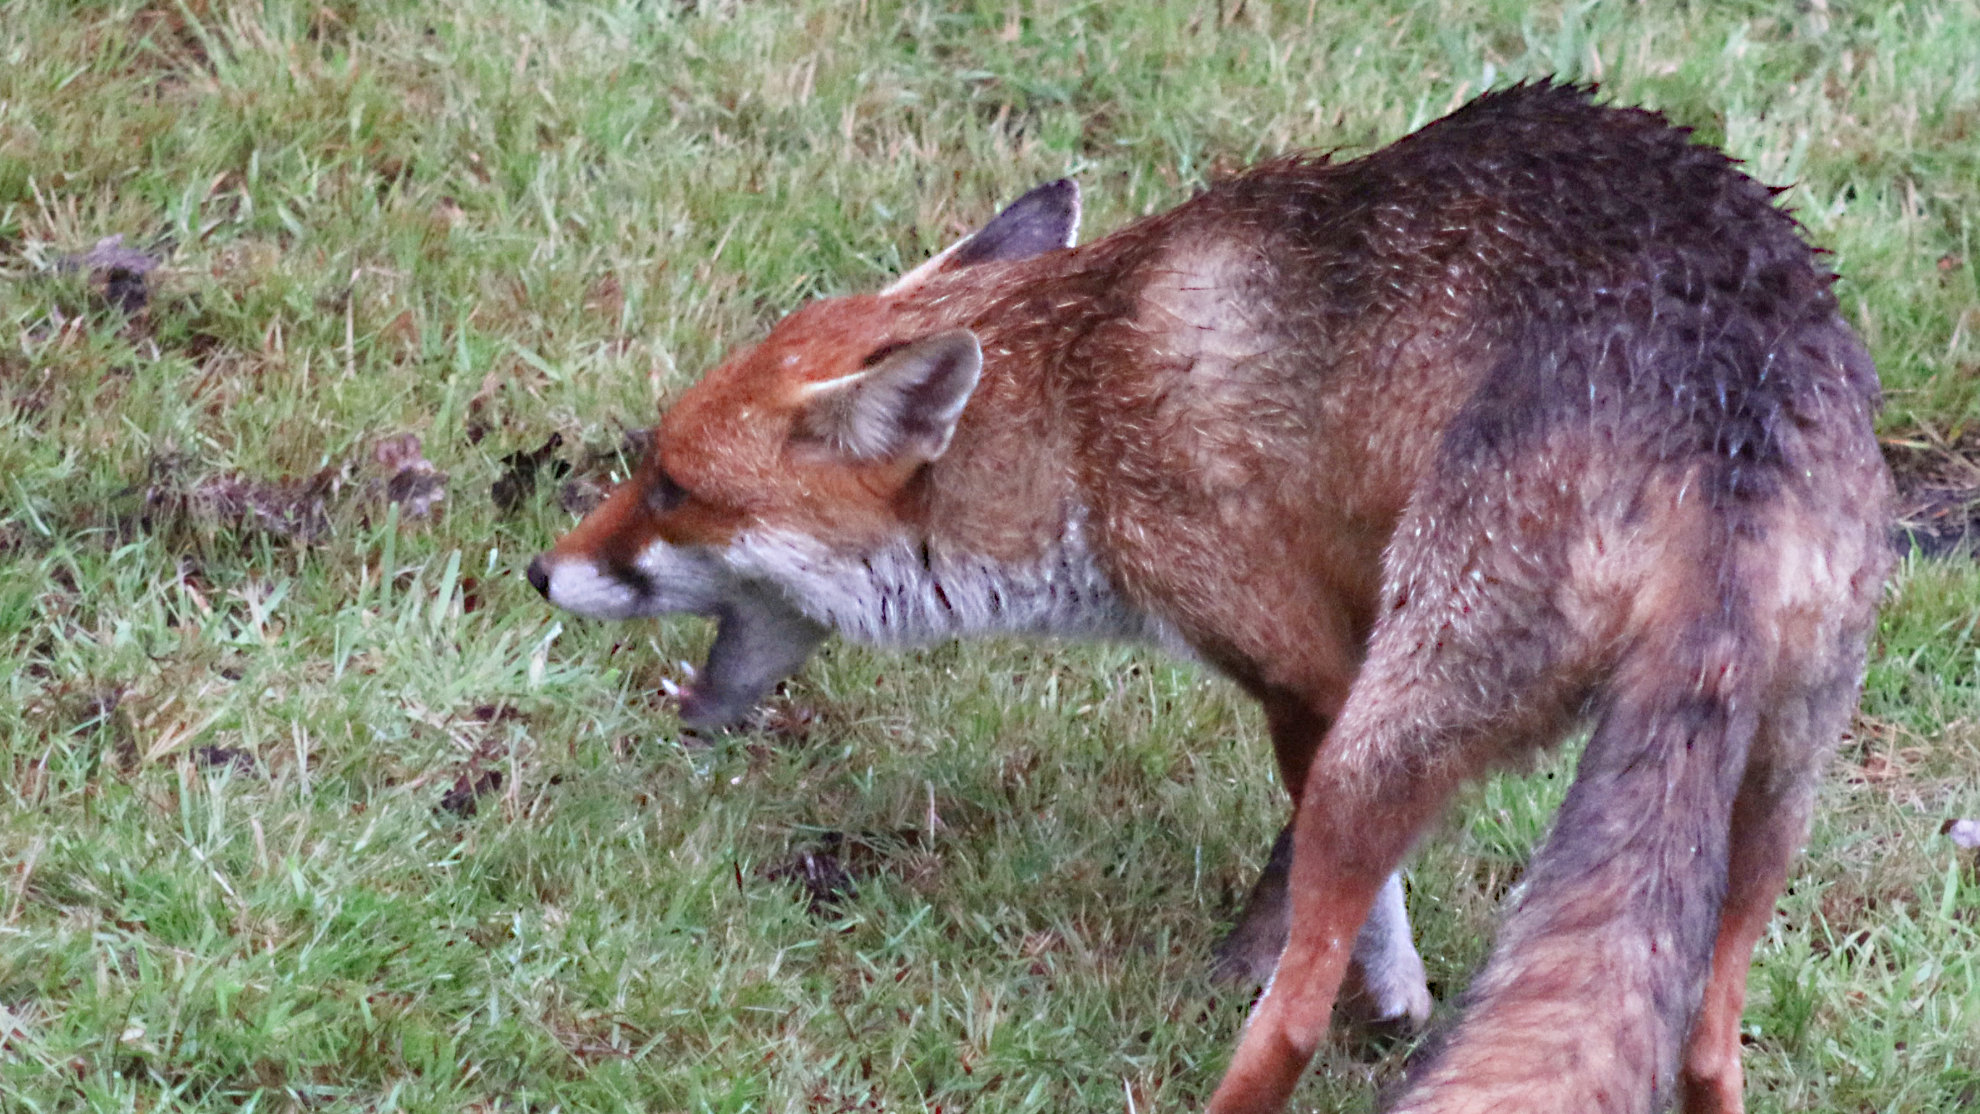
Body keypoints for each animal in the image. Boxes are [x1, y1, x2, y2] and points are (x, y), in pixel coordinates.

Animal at [527, 82, 1891, 1113]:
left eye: (669, 487)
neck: (1086, 400)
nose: (541, 571)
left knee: (1288, 1032)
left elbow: (1340, 919)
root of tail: (1726, 412)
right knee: (1708, 1047)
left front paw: (1377, 990)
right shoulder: (1339, 664)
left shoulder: (1308, 666)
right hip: (1773, 792)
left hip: (1409, 723)